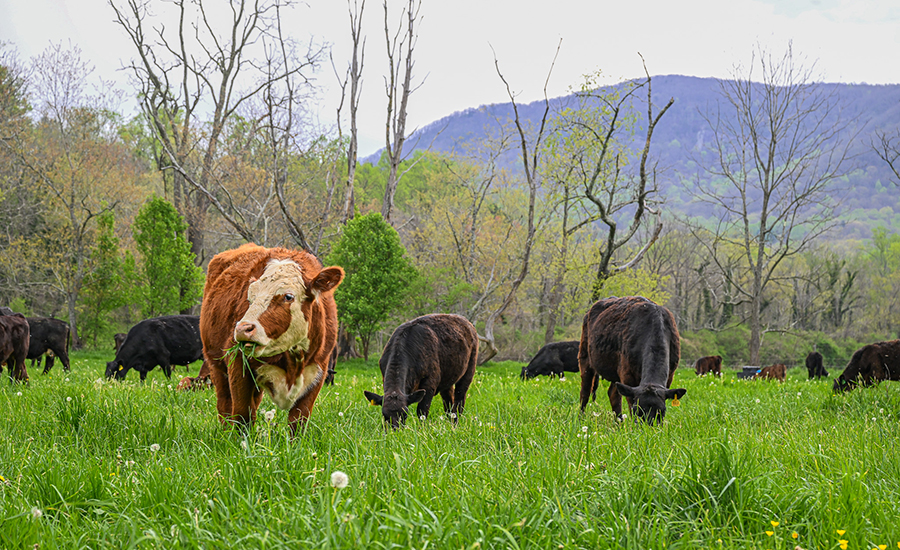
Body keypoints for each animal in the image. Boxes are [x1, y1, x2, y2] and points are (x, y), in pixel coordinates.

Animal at [200, 243, 343, 436]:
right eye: (250, 298)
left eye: (288, 296)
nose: (243, 329)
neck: (293, 360)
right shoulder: (238, 363)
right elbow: (241, 415)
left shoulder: (318, 370)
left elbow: (298, 420)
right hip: (216, 364)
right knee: (225, 405)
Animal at [578, 296, 686, 425]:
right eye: (637, 410)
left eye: (662, 411)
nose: (648, 427)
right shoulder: (628, 376)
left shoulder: (669, 376)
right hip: (585, 357)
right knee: (585, 392)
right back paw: (581, 419)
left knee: (613, 394)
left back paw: (619, 423)